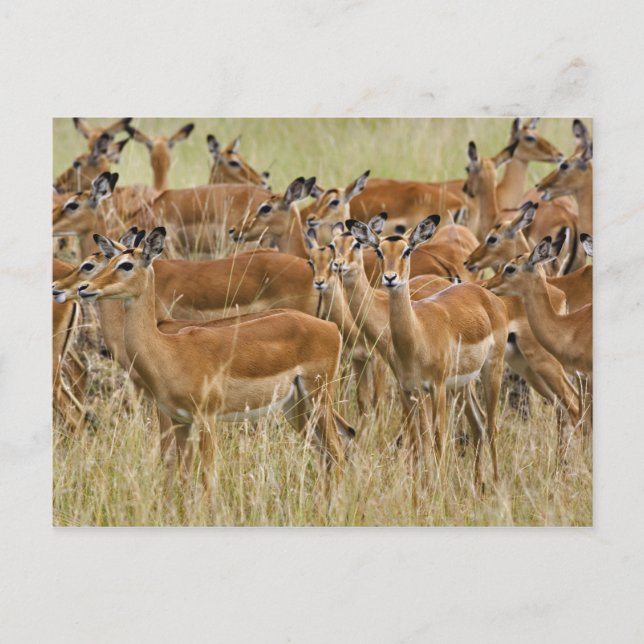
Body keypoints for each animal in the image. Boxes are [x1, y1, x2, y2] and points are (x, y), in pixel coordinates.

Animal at [77, 228, 354, 492]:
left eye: (126, 265)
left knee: (337, 449)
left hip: (318, 399)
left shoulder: (206, 419)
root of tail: (330, 327)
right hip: (295, 406)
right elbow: (183, 476)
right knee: (329, 450)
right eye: (110, 260)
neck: (169, 350)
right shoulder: (180, 421)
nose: (84, 288)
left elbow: (207, 478)